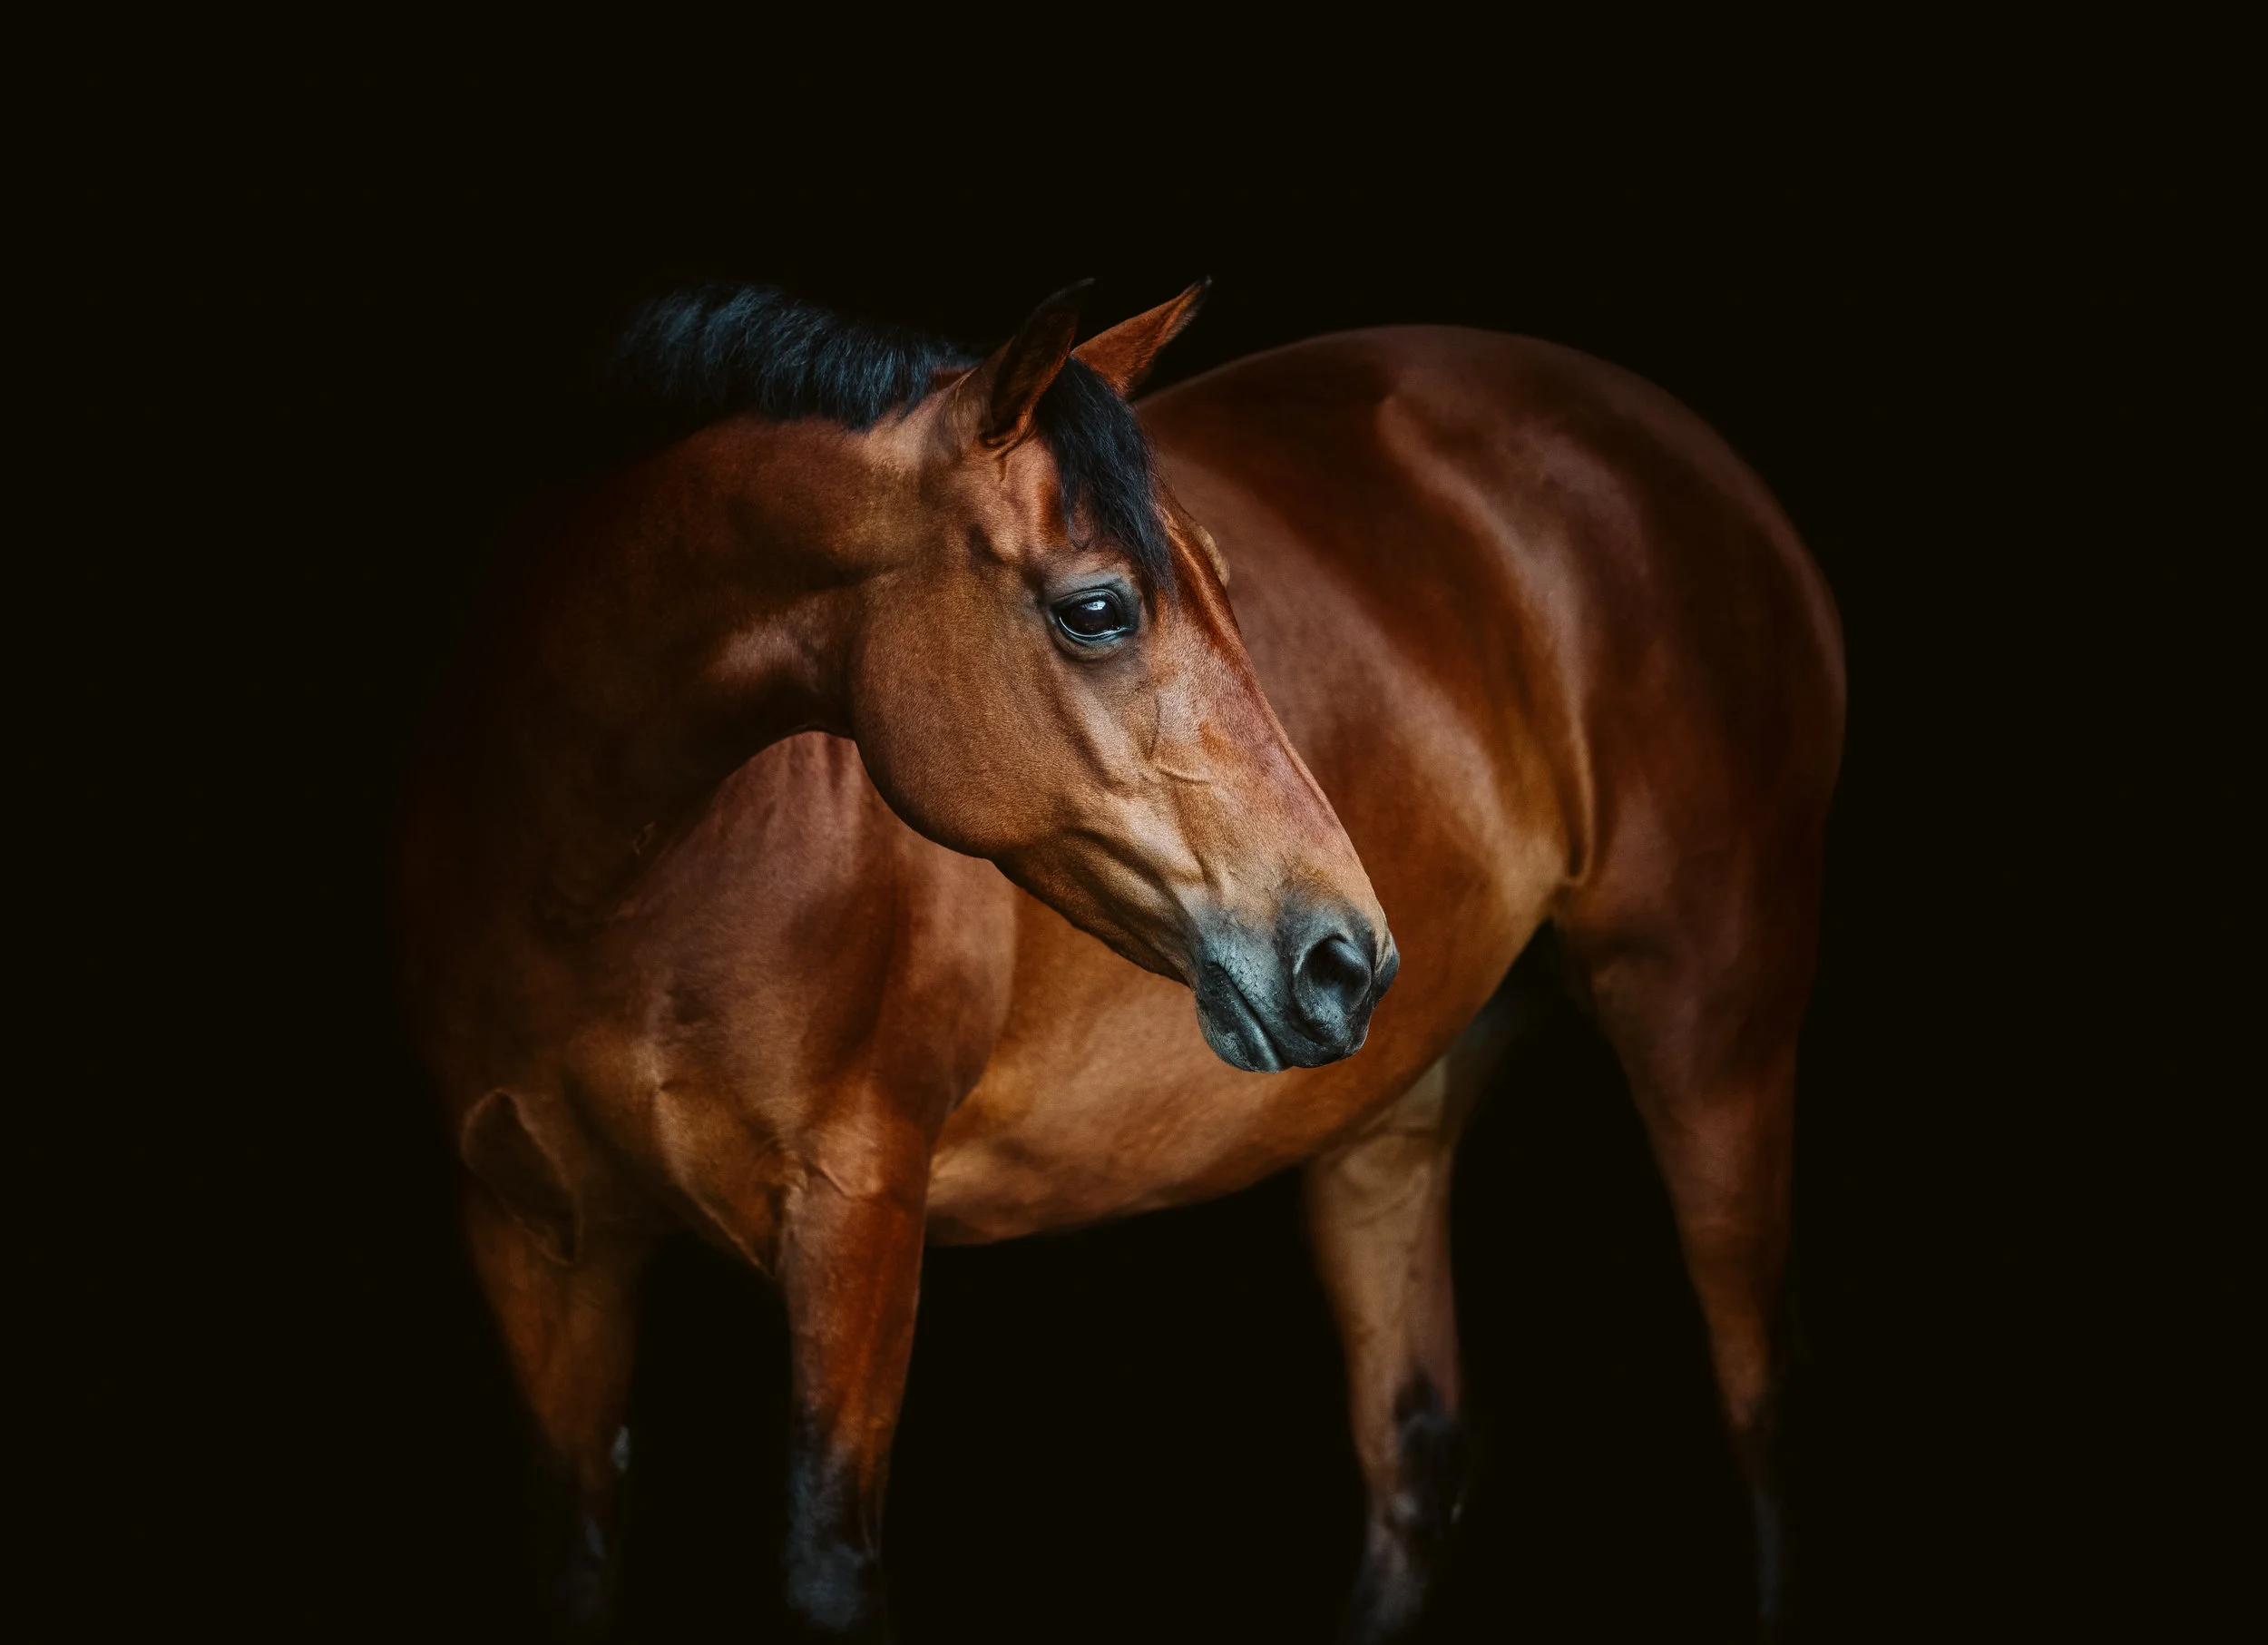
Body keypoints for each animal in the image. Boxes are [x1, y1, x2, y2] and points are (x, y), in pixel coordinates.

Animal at [395, 281, 1843, 1642]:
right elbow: (577, 1557)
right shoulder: (534, 1235)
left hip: (1708, 1034)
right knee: (1415, 1463)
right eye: (1097, 608)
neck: (600, 881)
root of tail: (1701, 467)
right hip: (1387, 1129)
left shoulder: (856, 1214)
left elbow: (828, 1570)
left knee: (1761, 1414)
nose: (1343, 957)